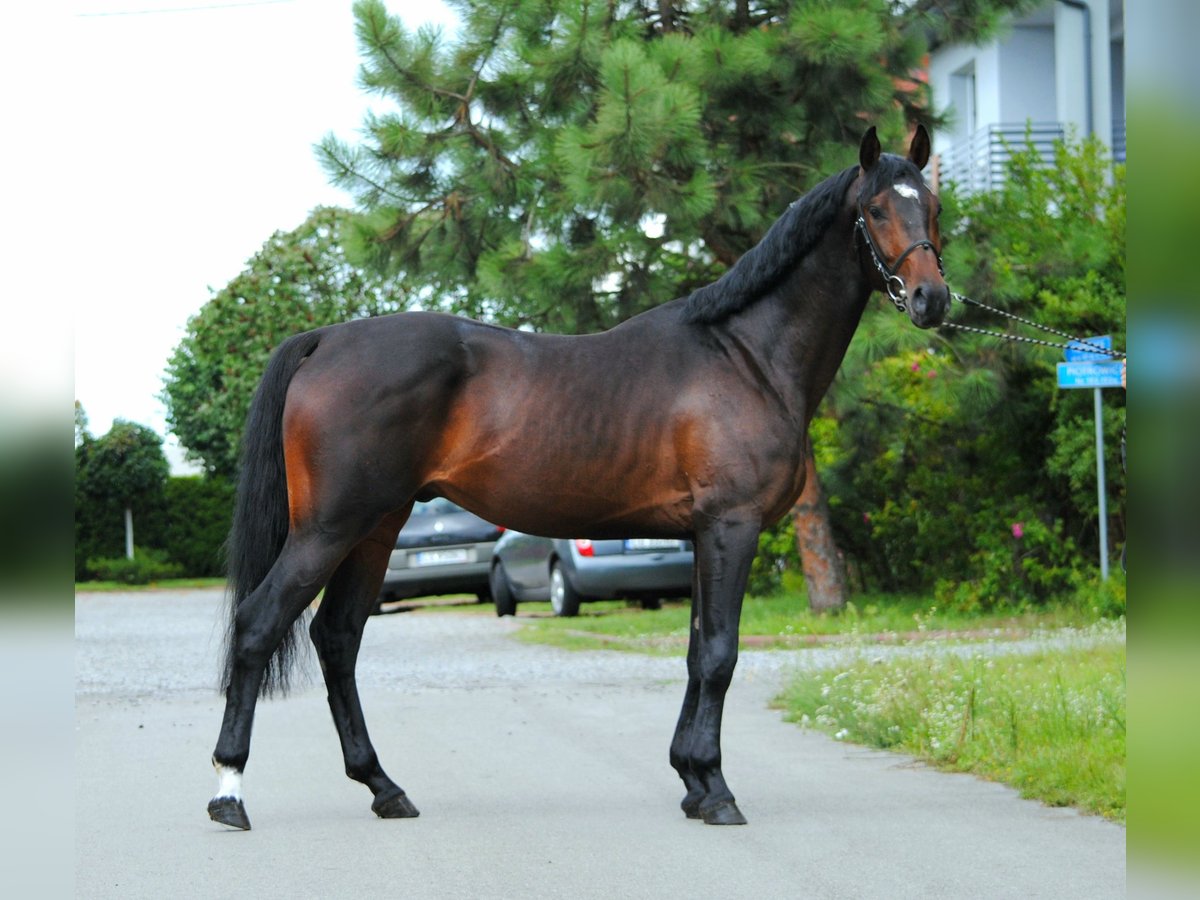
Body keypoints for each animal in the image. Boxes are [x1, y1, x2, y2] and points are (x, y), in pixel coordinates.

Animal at [211, 125, 950, 830]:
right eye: (876, 209)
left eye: (934, 206)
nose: (932, 300)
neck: (745, 355)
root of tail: (326, 340)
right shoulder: (730, 527)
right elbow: (720, 653)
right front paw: (716, 792)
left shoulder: (700, 537)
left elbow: (694, 651)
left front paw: (692, 779)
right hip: (330, 528)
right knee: (258, 624)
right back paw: (229, 791)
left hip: (375, 528)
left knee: (337, 638)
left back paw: (383, 788)